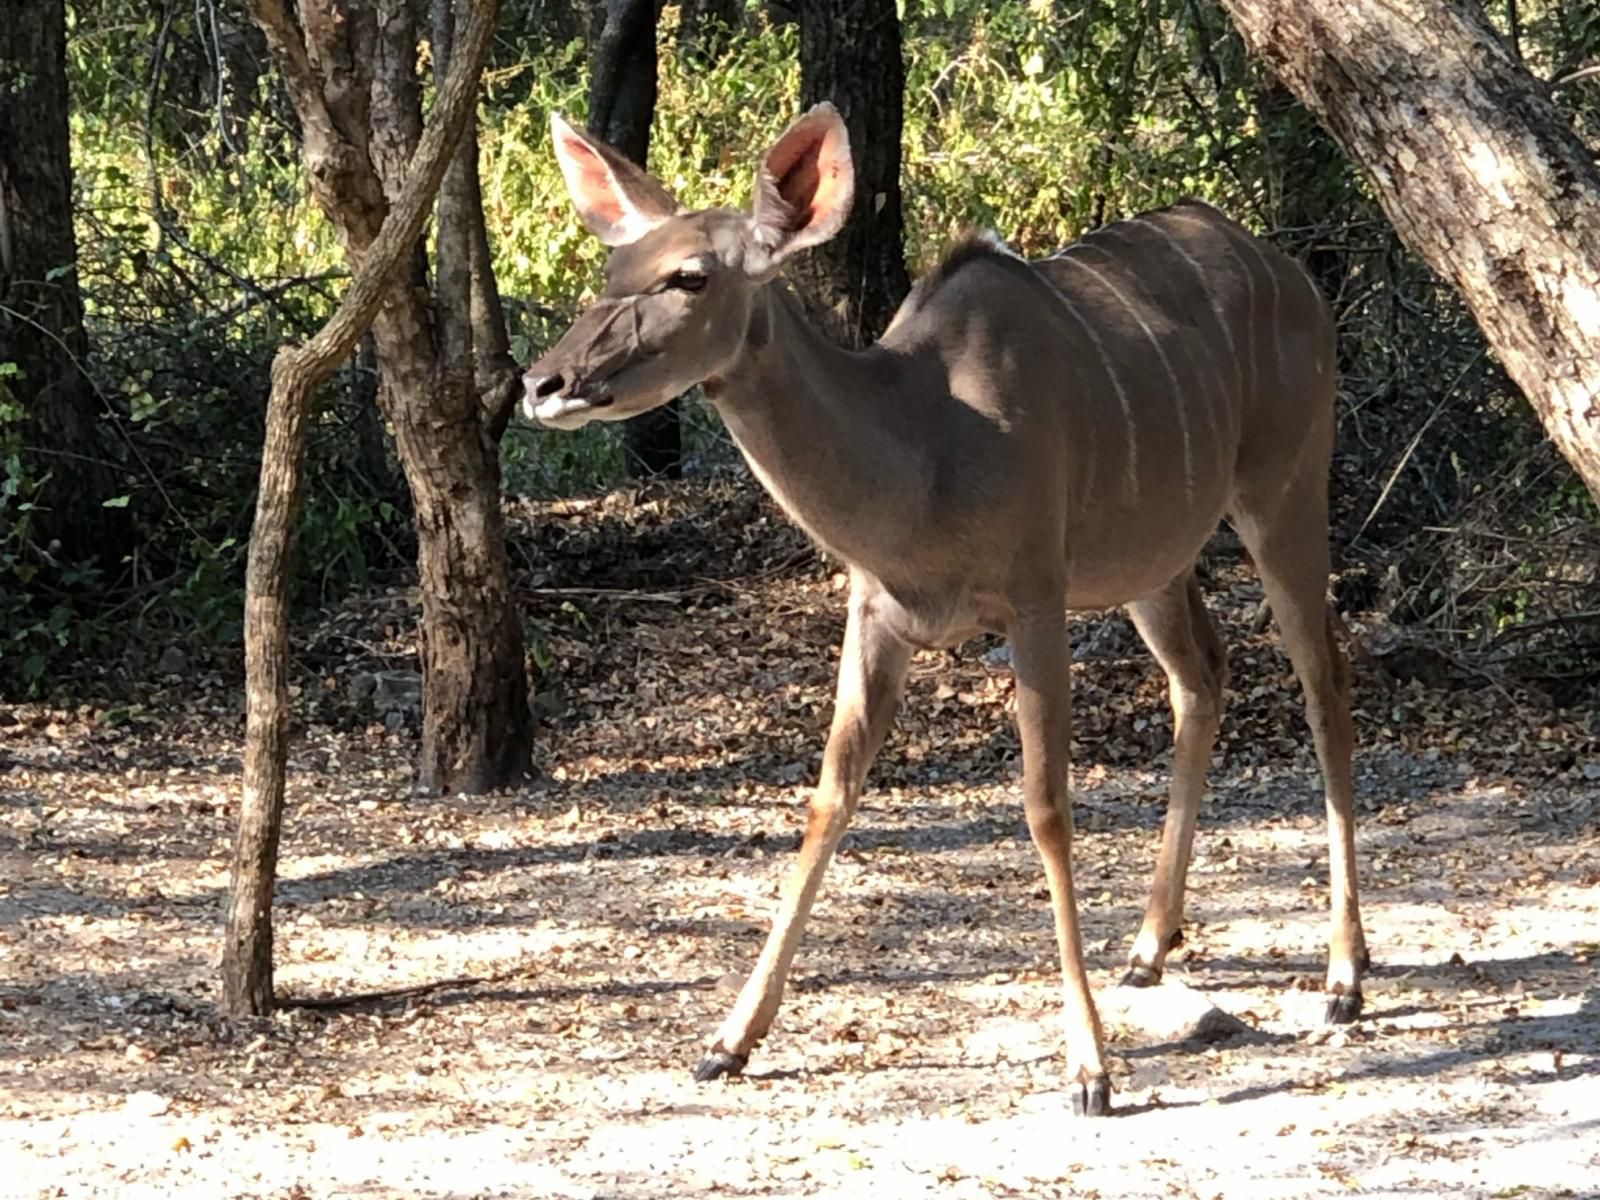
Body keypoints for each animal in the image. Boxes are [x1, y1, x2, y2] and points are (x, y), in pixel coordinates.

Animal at [521, 103, 1363, 1120]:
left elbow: (1045, 806)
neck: (927, 449)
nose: (543, 384)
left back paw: (1343, 978)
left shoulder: (1035, 600)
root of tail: (1296, 277)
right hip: (1152, 558)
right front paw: (727, 1043)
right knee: (1202, 675)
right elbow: (830, 794)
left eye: (689, 275)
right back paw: (1147, 948)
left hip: (1286, 488)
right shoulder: (876, 614)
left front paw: (1090, 1069)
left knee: (1324, 682)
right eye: (612, 272)